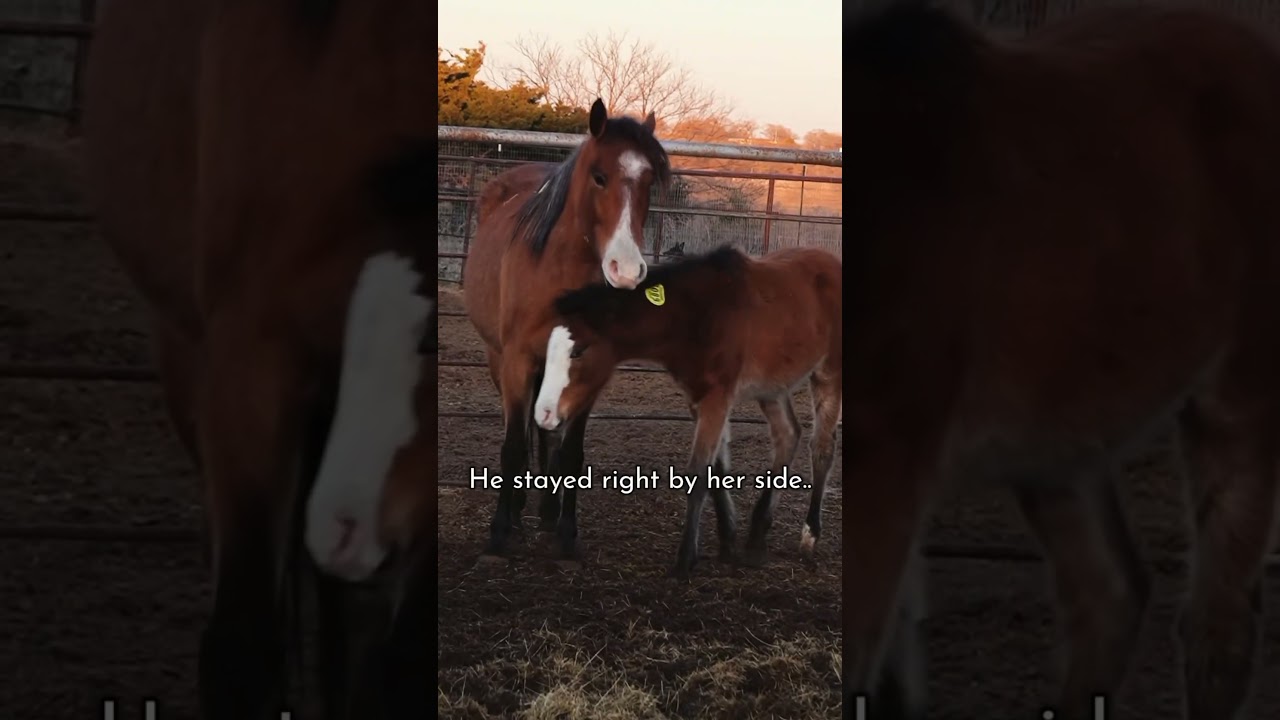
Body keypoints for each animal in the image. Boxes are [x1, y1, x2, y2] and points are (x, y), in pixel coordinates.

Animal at [462, 99, 670, 563]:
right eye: (599, 176)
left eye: (649, 179)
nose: (626, 271)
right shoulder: (517, 360)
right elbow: (513, 445)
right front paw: (499, 535)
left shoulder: (588, 365)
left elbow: (570, 451)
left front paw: (567, 534)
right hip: (498, 359)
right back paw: (518, 511)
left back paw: (544, 510)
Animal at [531, 245, 843, 577]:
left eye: (578, 351)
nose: (544, 414)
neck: (700, 315)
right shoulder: (698, 400)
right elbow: (716, 470)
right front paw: (728, 543)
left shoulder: (717, 399)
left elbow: (698, 472)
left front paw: (684, 560)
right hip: (772, 386)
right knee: (788, 434)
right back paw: (757, 536)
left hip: (828, 374)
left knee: (822, 448)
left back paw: (809, 535)